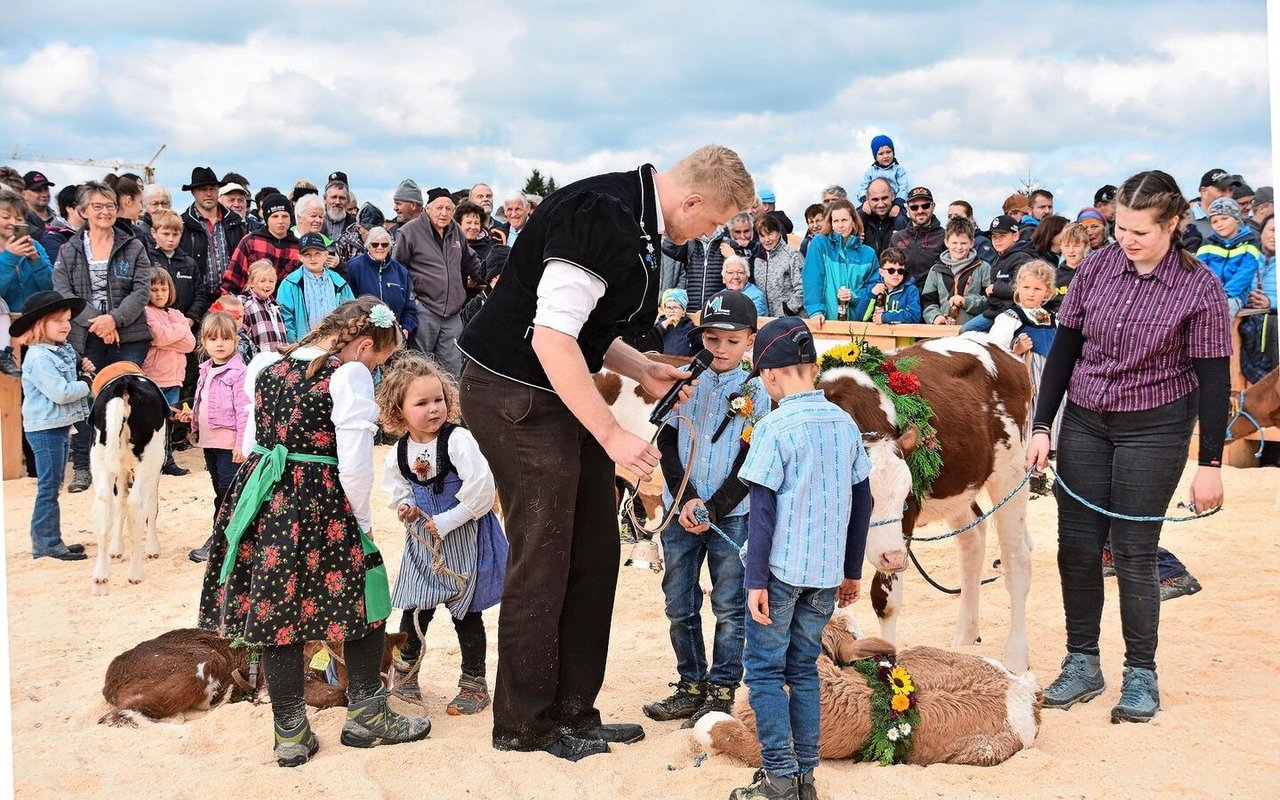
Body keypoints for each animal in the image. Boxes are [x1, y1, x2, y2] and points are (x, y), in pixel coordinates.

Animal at [90, 373, 168, 593]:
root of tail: (125, 383)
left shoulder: (122, 470)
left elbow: (120, 503)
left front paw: (116, 548)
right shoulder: (156, 468)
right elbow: (151, 506)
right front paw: (153, 548)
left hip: (99, 456)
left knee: (104, 503)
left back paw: (100, 576)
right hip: (151, 458)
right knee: (137, 504)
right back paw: (135, 574)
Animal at [819, 332, 1039, 670]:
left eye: (905, 500)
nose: (894, 558)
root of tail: (1000, 348)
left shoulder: (904, 524)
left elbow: (885, 601)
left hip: (1012, 472)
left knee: (1017, 558)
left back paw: (1015, 657)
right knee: (973, 540)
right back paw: (964, 637)